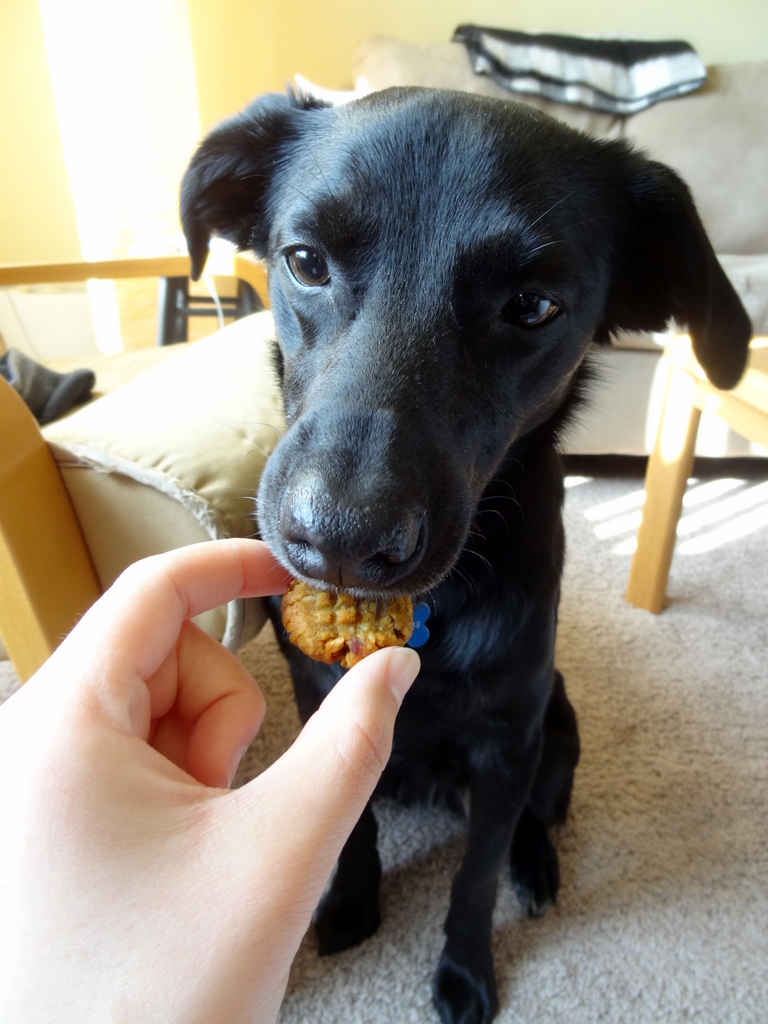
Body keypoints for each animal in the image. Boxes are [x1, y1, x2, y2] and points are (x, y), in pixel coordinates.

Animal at [182, 90, 753, 1024]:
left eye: (532, 305)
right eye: (303, 261)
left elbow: (475, 875)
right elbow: (353, 829)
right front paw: (350, 902)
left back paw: (539, 866)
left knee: (532, 820)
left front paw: (465, 969)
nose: (338, 541)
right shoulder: (320, 703)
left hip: (559, 730)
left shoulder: (507, 742)